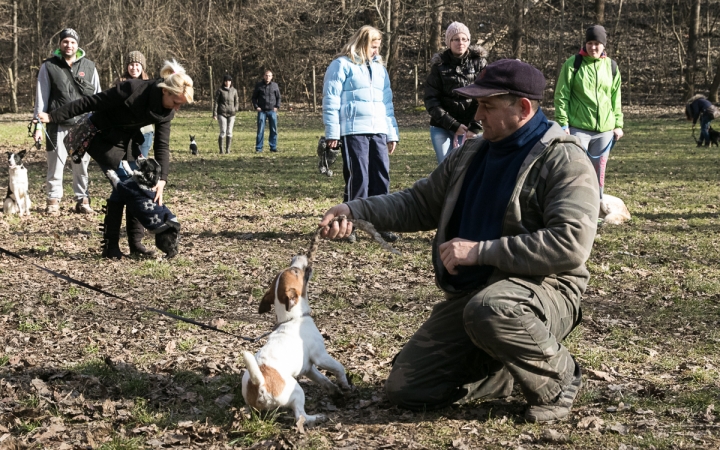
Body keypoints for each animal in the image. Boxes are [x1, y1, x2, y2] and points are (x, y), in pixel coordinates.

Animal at [242, 255, 352, 428]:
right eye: (295, 271)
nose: (298, 255)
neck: (293, 318)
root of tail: (259, 385)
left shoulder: (308, 368)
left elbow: (323, 379)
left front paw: (334, 389)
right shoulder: (321, 356)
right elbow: (339, 368)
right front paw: (344, 383)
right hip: (297, 391)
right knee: (301, 416)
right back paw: (318, 417)